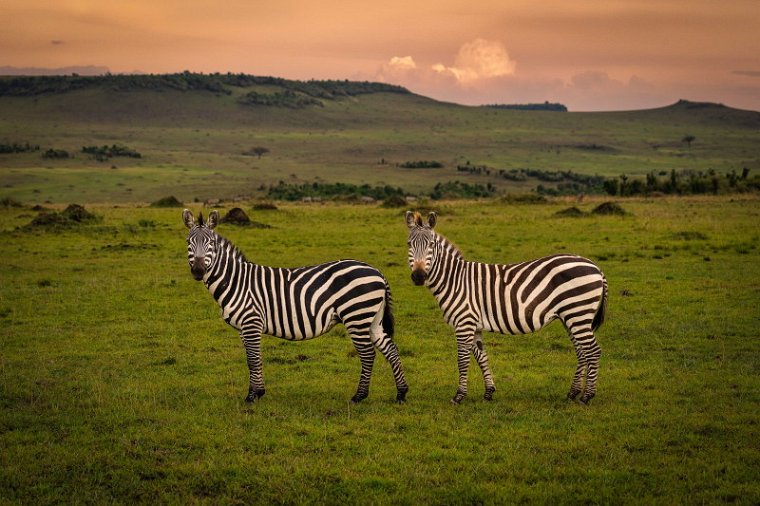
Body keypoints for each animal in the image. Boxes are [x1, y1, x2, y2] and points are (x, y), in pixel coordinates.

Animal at [183, 209, 406, 404]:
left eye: (211, 243)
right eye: (188, 242)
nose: (198, 270)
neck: (236, 281)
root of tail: (377, 271)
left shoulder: (251, 322)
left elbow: (253, 359)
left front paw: (252, 396)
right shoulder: (242, 328)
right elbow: (251, 359)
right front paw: (258, 392)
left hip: (356, 316)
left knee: (368, 354)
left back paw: (359, 396)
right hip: (372, 319)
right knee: (391, 350)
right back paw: (401, 394)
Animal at [406, 211, 608, 406]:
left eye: (431, 244)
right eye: (409, 244)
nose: (418, 276)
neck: (454, 280)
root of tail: (595, 267)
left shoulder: (464, 322)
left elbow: (462, 359)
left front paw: (459, 396)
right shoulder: (474, 325)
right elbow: (481, 357)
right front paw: (489, 392)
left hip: (578, 313)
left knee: (593, 351)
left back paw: (587, 396)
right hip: (571, 316)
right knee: (582, 352)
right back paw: (573, 393)